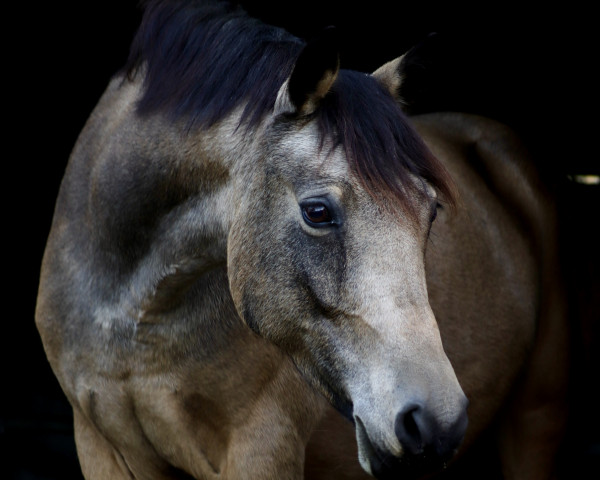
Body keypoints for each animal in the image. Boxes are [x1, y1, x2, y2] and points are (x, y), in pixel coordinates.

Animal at [35, 0, 568, 478]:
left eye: (432, 211)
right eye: (317, 212)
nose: (436, 422)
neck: (133, 315)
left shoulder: (261, 449)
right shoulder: (100, 446)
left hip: (535, 418)